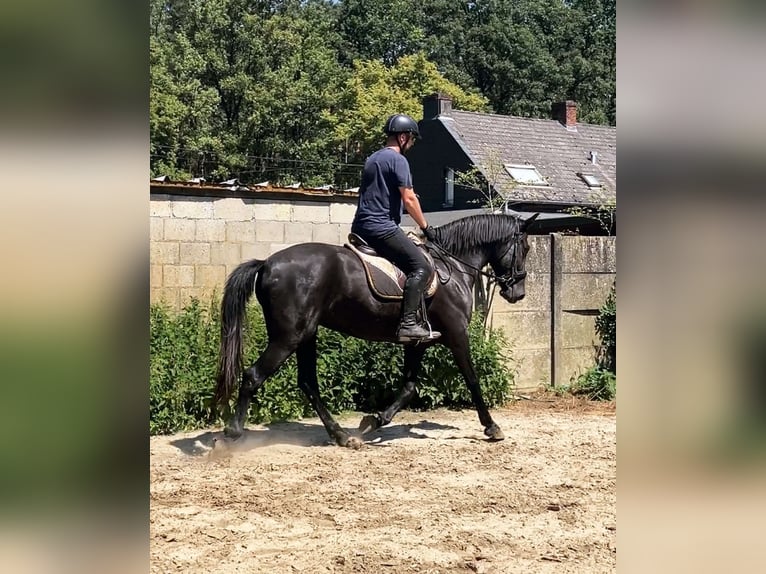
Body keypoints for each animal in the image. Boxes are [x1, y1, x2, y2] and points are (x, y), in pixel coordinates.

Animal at [214, 214, 540, 452]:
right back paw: (233, 432)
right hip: (288, 337)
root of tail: (267, 264)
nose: (518, 293)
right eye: (524, 248)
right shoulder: (456, 334)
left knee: (307, 383)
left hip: (306, 335)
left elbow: (409, 388)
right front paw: (492, 426)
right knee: (254, 376)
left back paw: (342, 436)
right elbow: (472, 379)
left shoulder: (417, 343)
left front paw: (372, 422)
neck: (452, 267)